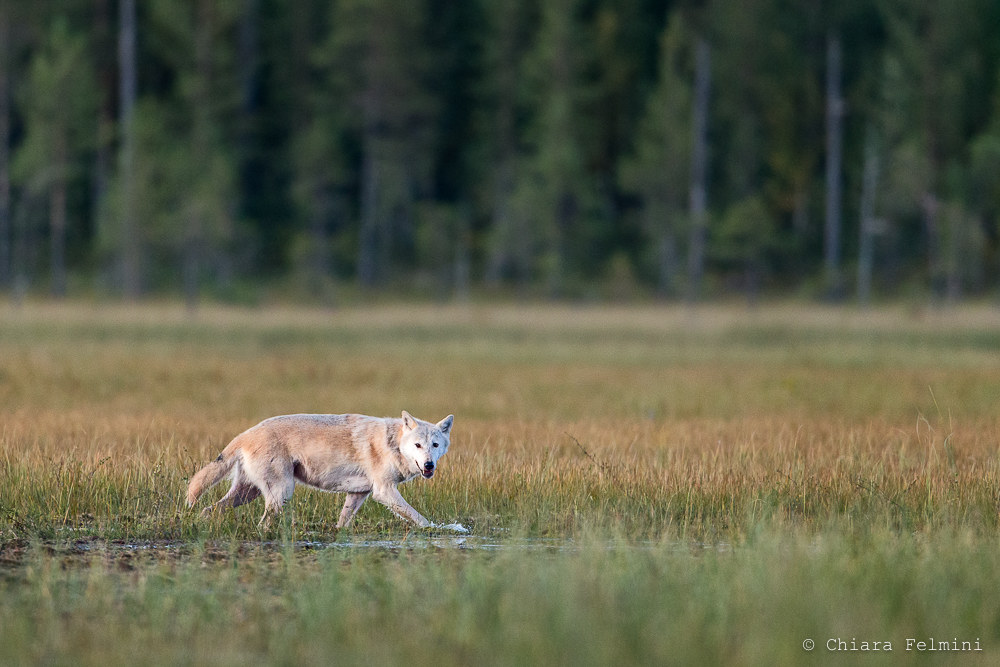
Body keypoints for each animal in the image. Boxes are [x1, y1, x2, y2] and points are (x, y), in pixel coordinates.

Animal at [186, 411, 455, 529]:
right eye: (417, 445)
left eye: (435, 445)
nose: (429, 465)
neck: (394, 444)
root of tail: (245, 434)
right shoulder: (384, 491)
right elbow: (419, 518)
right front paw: (439, 530)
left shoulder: (359, 494)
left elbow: (343, 522)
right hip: (281, 492)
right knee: (262, 523)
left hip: (247, 493)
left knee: (209, 510)